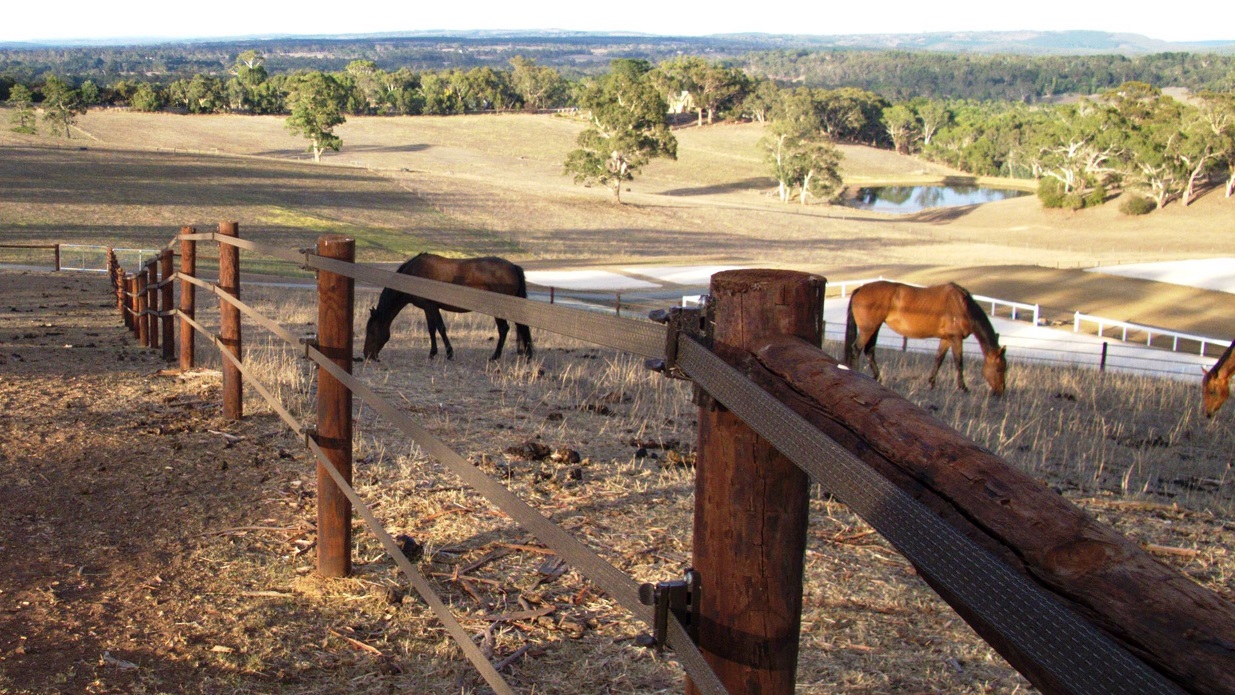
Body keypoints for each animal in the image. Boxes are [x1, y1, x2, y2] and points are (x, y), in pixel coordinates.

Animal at [363, 253, 533, 362]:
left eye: (371, 331)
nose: (367, 355)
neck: (413, 276)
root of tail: (513, 266)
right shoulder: (428, 308)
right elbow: (432, 329)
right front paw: (432, 353)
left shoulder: (431, 306)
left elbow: (441, 328)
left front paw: (450, 353)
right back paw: (527, 354)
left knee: (504, 329)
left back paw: (495, 356)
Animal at [843, 280, 1007, 395]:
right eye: (999, 369)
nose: (1000, 391)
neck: (962, 306)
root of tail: (860, 289)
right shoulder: (956, 338)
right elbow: (959, 362)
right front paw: (963, 387)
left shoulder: (947, 339)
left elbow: (938, 359)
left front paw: (931, 383)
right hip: (868, 329)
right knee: (857, 348)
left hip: (874, 327)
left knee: (869, 351)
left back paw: (878, 378)